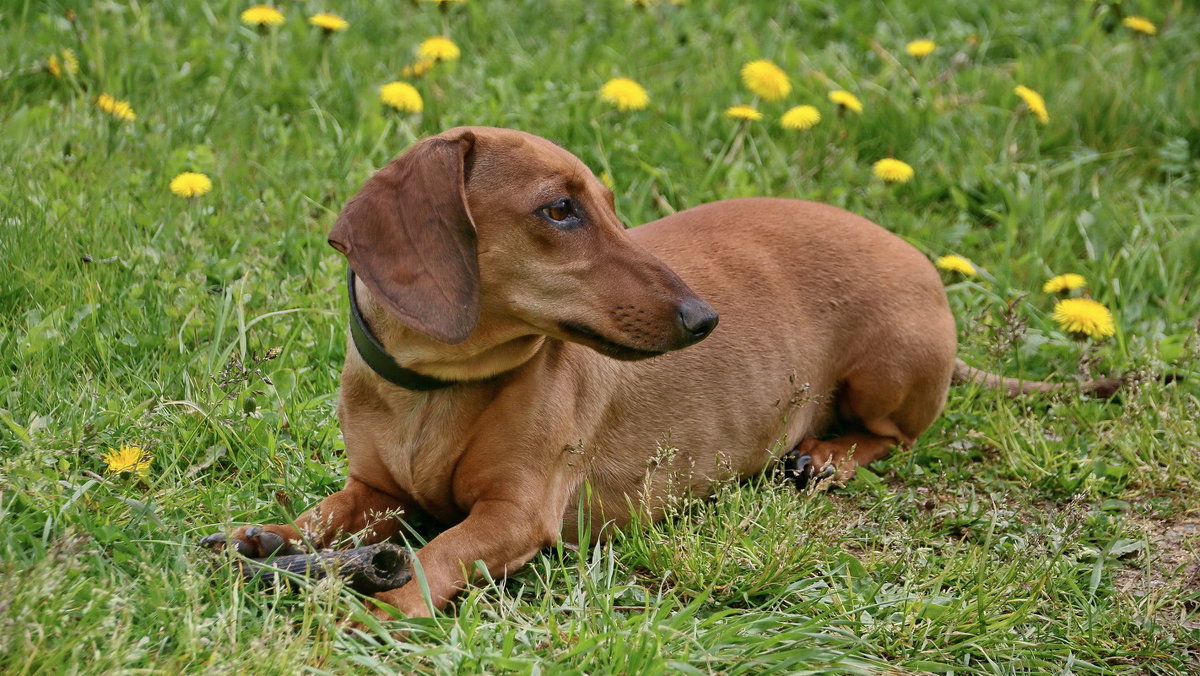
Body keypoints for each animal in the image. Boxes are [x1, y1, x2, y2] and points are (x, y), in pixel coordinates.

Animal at [199, 125, 1123, 619]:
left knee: (891, 436)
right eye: (559, 209)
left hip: (889, 369)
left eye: (608, 206)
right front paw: (266, 536)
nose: (703, 319)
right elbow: (324, 516)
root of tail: (923, 265)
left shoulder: (517, 515)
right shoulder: (375, 490)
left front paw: (384, 604)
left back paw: (824, 456)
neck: (441, 390)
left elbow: (445, 550)